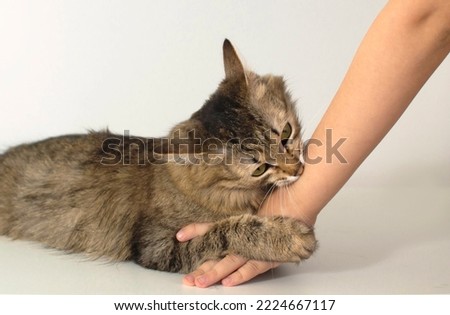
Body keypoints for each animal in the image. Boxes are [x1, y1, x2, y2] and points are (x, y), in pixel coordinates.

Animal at [0, 40, 316, 274]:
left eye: (286, 133)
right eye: (260, 168)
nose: (297, 170)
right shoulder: (158, 245)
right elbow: (226, 231)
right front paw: (286, 239)